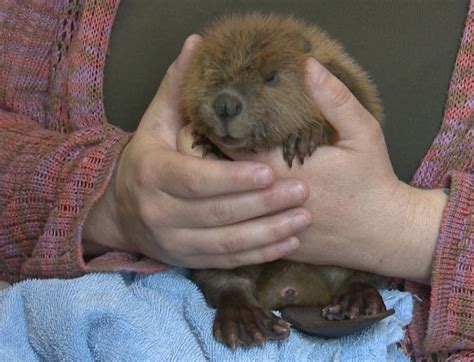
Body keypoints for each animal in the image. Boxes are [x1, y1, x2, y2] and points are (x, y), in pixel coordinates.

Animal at [183, 13, 386, 348]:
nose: (226, 104)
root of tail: (294, 294)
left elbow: (357, 100)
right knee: (225, 282)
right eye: (211, 71)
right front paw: (206, 140)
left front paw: (305, 136)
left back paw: (355, 304)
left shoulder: (343, 76)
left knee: (362, 276)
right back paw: (249, 322)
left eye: (271, 77)